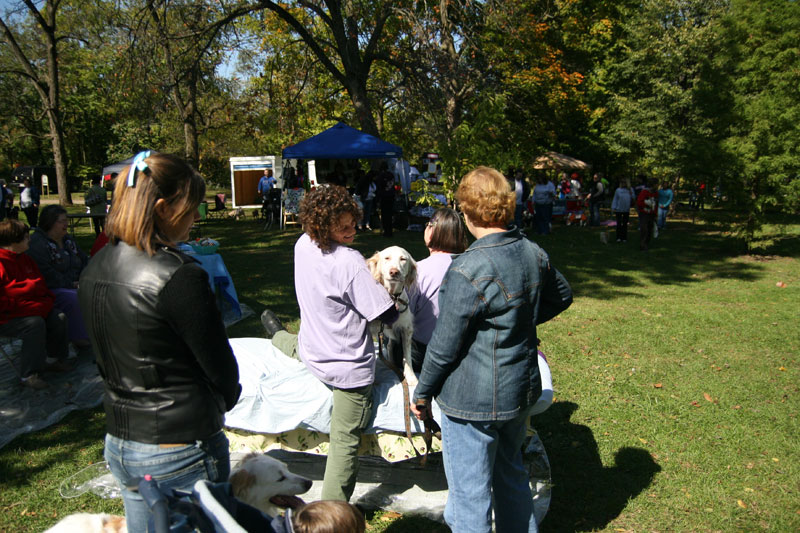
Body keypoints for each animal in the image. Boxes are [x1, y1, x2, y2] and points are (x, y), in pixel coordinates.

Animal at [368, 245, 418, 386]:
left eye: (403, 259)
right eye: (387, 258)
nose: (394, 272)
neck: (392, 297)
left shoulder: (406, 329)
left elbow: (407, 357)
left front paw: (411, 377)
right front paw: (373, 380)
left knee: (390, 346)